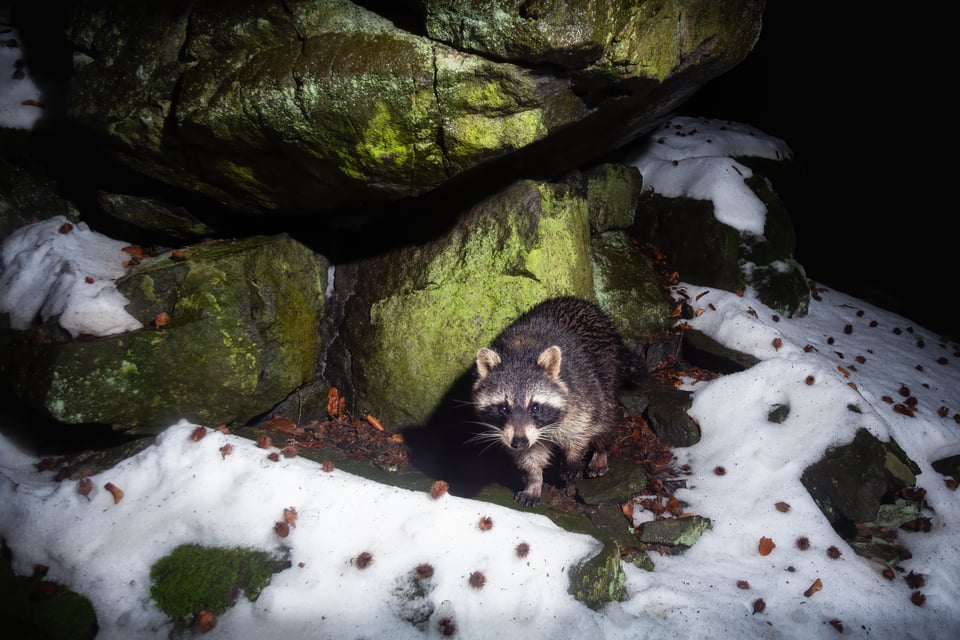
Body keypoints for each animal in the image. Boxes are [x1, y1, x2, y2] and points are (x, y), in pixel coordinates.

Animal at [471, 296, 627, 507]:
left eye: (535, 407)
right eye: (503, 409)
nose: (519, 442)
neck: (519, 355)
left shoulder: (580, 392)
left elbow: (581, 429)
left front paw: (573, 457)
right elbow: (530, 455)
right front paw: (534, 480)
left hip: (606, 369)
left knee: (605, 414)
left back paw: (601, 449)